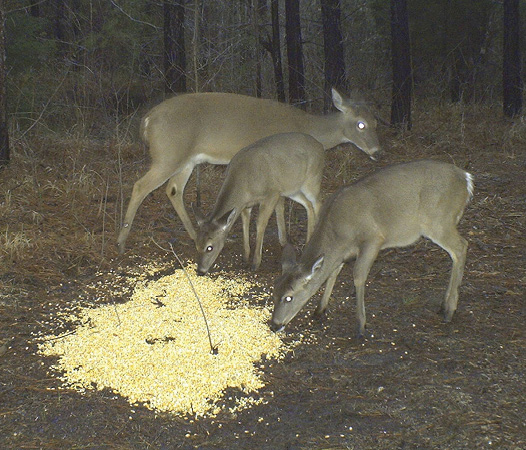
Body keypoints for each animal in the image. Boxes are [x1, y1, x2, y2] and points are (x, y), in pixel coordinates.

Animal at [117, 88, 382, 253]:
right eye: (360, 124)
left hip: (186, 160)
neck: (309, 127)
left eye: (376, 122)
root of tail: (147, 120)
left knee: (173, 190)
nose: (378, 150)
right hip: (168, 155)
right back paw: (121, 240)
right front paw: (283, 239)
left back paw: (193, 234)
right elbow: (280, 203)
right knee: (140, 186)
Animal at [194, 132, 326, 276]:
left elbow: (260, 224)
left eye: (210, 247)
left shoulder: (272, 193)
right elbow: (245, 223)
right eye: (196, 243)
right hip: (292, 188)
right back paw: (306, 243)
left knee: (318, 203)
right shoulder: (246, 204)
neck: (244, 184)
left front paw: (256, 263)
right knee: (308, 205)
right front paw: (245, 257)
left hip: (312, 180)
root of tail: (320, 146)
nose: (200, 271)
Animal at [270, 158, 476, 338]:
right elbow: (333, 273)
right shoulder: (342, 253)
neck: (337, 234)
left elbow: (358, 276)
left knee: (461, 246)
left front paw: (360, 325)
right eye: (274, 291)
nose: (274, 325)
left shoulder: (373, 239)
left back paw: (449, 310)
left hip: (438, 221)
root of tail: (466, 179)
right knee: (457, 251)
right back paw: (443, 305)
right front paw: (320, 310)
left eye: (289, 297)